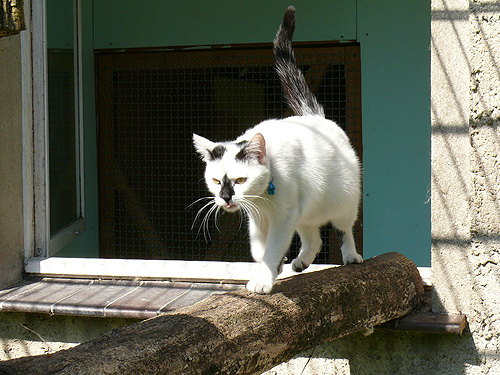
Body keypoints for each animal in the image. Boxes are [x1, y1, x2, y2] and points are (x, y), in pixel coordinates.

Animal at [193, 5, 362, 294]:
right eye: (216, 181)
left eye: (240, 180)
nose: (226, 198)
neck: (263, 199)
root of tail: (315, 116)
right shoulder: (257, 218)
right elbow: (260, 249)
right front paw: (273, 267)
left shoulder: (284, 217)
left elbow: (273, 247)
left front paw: (264, 278)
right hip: (306, 209)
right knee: (314, 238)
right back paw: (301, 262)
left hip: (343, 201)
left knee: (344, 229)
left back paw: (351, 256)